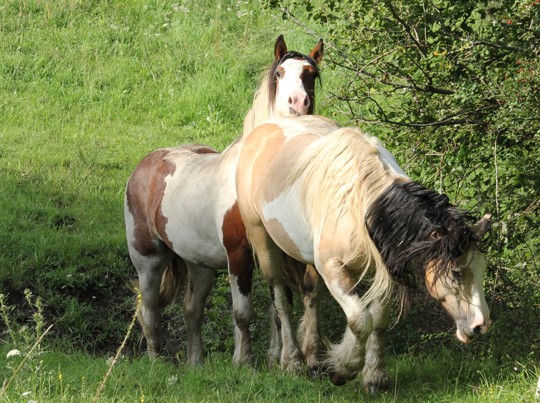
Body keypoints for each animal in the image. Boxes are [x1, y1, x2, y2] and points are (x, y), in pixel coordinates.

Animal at [234, 116, 492, 392]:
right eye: (456, 273)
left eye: (482, 269)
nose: (480, 325)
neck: (363, 208)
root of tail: (262, 130)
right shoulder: (333, 269)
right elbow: (360, 320)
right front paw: (342, 370)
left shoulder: (384, 271)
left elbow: (377, 320)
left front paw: (374, 377)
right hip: (263, 242)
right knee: (281, 301)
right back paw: (292, 361)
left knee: (310, 295)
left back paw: (313, 359)